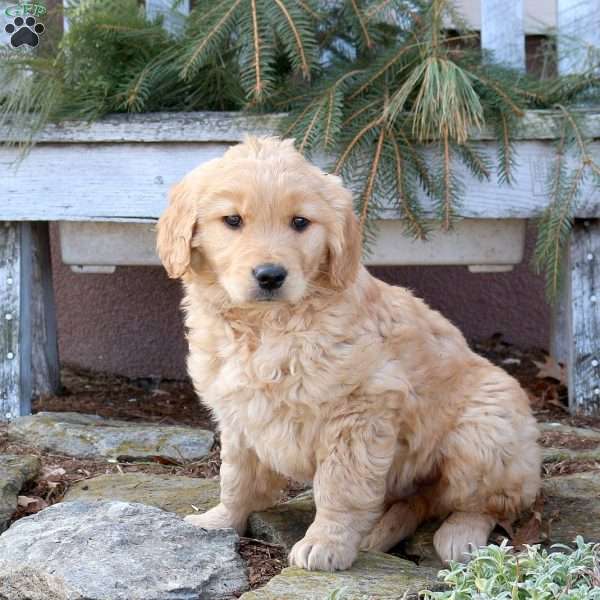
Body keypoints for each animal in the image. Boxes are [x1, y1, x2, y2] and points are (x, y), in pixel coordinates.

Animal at [157, 136, 540, 572]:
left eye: (300, 223)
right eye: (233, 220)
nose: (270, 275)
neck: (269, 326)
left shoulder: (360, 412)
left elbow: (340, 488)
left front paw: (326, 543)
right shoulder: (240, 413)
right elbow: (237, 478)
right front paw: (220, 520)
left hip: (485, 430)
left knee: (488, 502)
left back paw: (460, 535)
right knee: (419, 501)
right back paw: (379, 531)